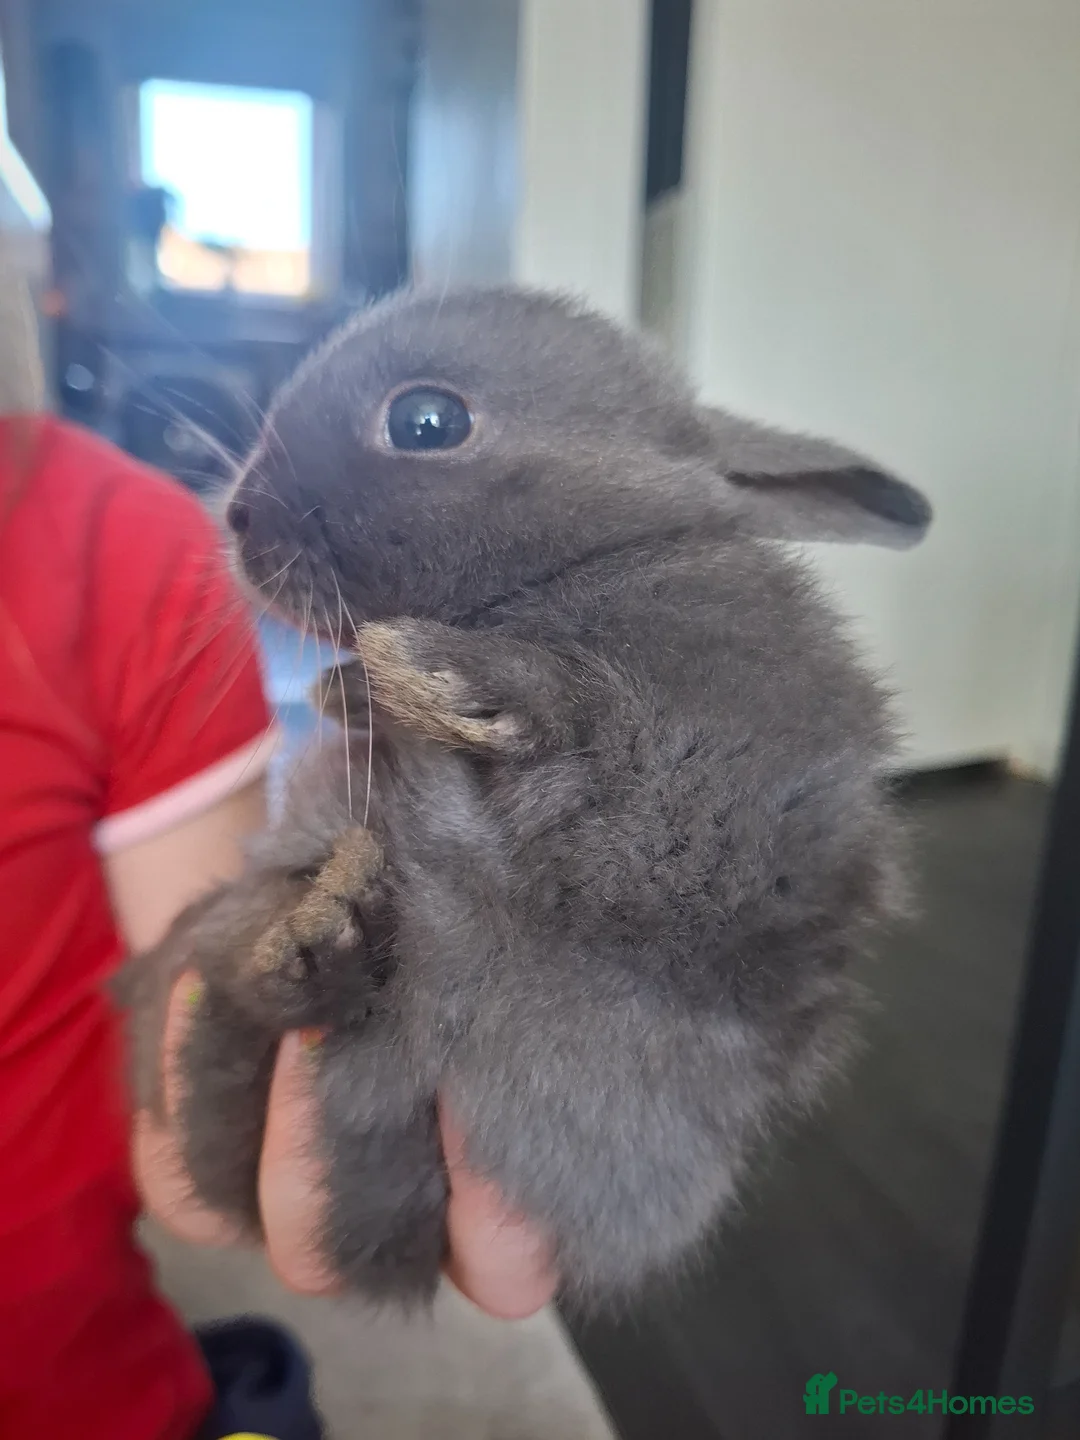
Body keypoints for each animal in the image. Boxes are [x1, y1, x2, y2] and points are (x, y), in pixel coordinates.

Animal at [121, 285, 931, 1311]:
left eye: (427, 422)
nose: (239, 514)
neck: (594, 557)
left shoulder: (738, 814)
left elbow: (595, 732)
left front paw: (434, 675)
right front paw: (366, 687)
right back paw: (323, 935)